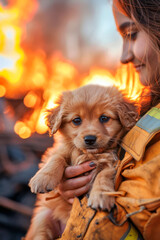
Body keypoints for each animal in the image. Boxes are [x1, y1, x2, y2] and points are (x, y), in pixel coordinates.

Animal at [25, 83, 139, 239]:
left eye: (104, 118)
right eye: (76, 120)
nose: (90, 139)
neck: (90, 155)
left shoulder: (113, 162)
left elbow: (104, 174)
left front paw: (101, 195)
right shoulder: (64, 150)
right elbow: (57, 158)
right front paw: (43, 178)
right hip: (43, 219)